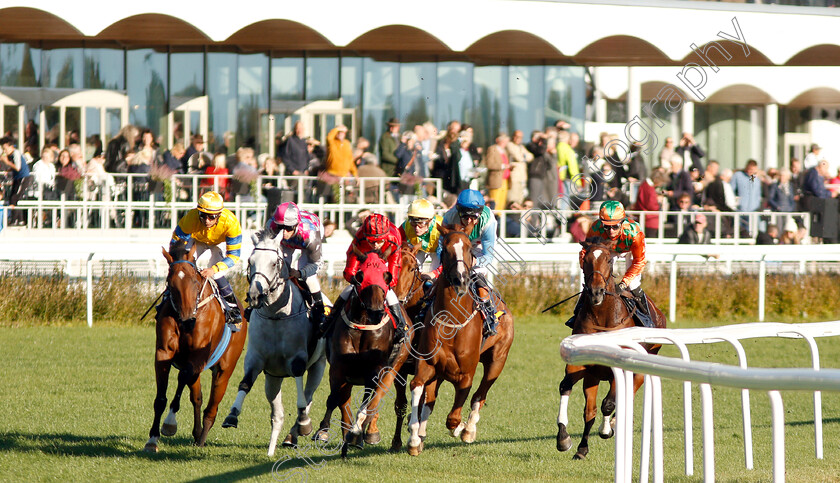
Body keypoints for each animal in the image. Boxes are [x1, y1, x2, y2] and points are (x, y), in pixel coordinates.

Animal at [143, 239, 248, 454]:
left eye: (194, 281)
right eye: (170, 282)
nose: (187, 320)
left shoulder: (196, 358)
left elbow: (182, 377)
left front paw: (169, 423)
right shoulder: (163, 353)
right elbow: (160, 398)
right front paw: (152, 439)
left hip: (225, 369)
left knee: (211, 408)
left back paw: (201, 439)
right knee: (197, 398)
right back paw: (197, 433)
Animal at [221, 232, 326, 458]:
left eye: (274, 263)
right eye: (250, 261)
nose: (254, 295)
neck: (276, 315)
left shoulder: (297, 358)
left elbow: (300, 395)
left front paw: (304, 423)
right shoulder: (255, 359)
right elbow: (245, 384)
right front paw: (232, 415)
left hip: (318, 366)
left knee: (308, 397)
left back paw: (295, 431)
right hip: (273, 378)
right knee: (277, 415)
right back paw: (272, 449)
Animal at [314, 251, 416, 460]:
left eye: (386, 276)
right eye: (360, 276)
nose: (376, 312)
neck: (363, 324)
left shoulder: (374, 371)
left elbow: (366, 403)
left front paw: (356, 433)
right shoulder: (338, 368)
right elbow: (333, 399)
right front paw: (323, 431)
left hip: (394, 368)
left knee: (376, 401)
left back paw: (365, 433)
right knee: (344, 404)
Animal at [406, 225, 516, 456]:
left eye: (470, 250)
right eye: (445, 249)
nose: (460, 279)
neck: (451, 322)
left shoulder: (466, 375)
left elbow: (453, 419)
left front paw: (463, 428)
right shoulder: (427, 365)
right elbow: (417, 388)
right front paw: (414, 438)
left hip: (497, 360)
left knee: (479, 396)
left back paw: (469, 430)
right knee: (431, 400)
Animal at [556, 238, 668, 462]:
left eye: (609, 260)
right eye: (585, 258)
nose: (596, 292)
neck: (603, 318)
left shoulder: (621, 369)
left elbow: (608, 403)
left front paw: (607, 430)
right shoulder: (583, 367)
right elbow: (568, 390)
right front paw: (566, 440)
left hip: (642, 365)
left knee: (627, 393)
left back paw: (614, 423)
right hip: (594, 377)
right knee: (591, 410)